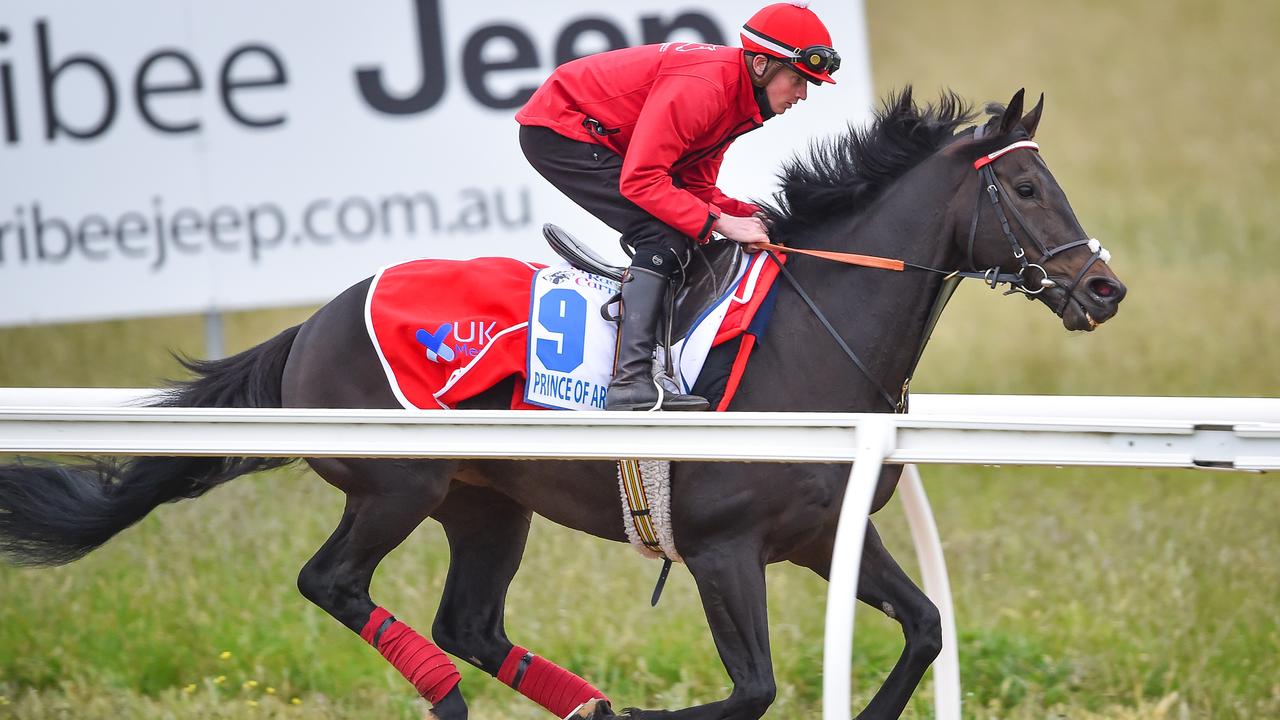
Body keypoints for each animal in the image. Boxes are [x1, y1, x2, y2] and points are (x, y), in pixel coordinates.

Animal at [0, 90, 1121, 717]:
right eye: (1026, 190)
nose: (1104, 289)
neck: (808, 342)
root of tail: (314, 323)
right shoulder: (722, 550)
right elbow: (752, 689)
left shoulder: (819, 532)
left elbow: (925, 629)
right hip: (395, 486)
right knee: (334, 583)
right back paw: (454, 698)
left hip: (487, 505)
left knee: (469, 623)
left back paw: (568, 703)